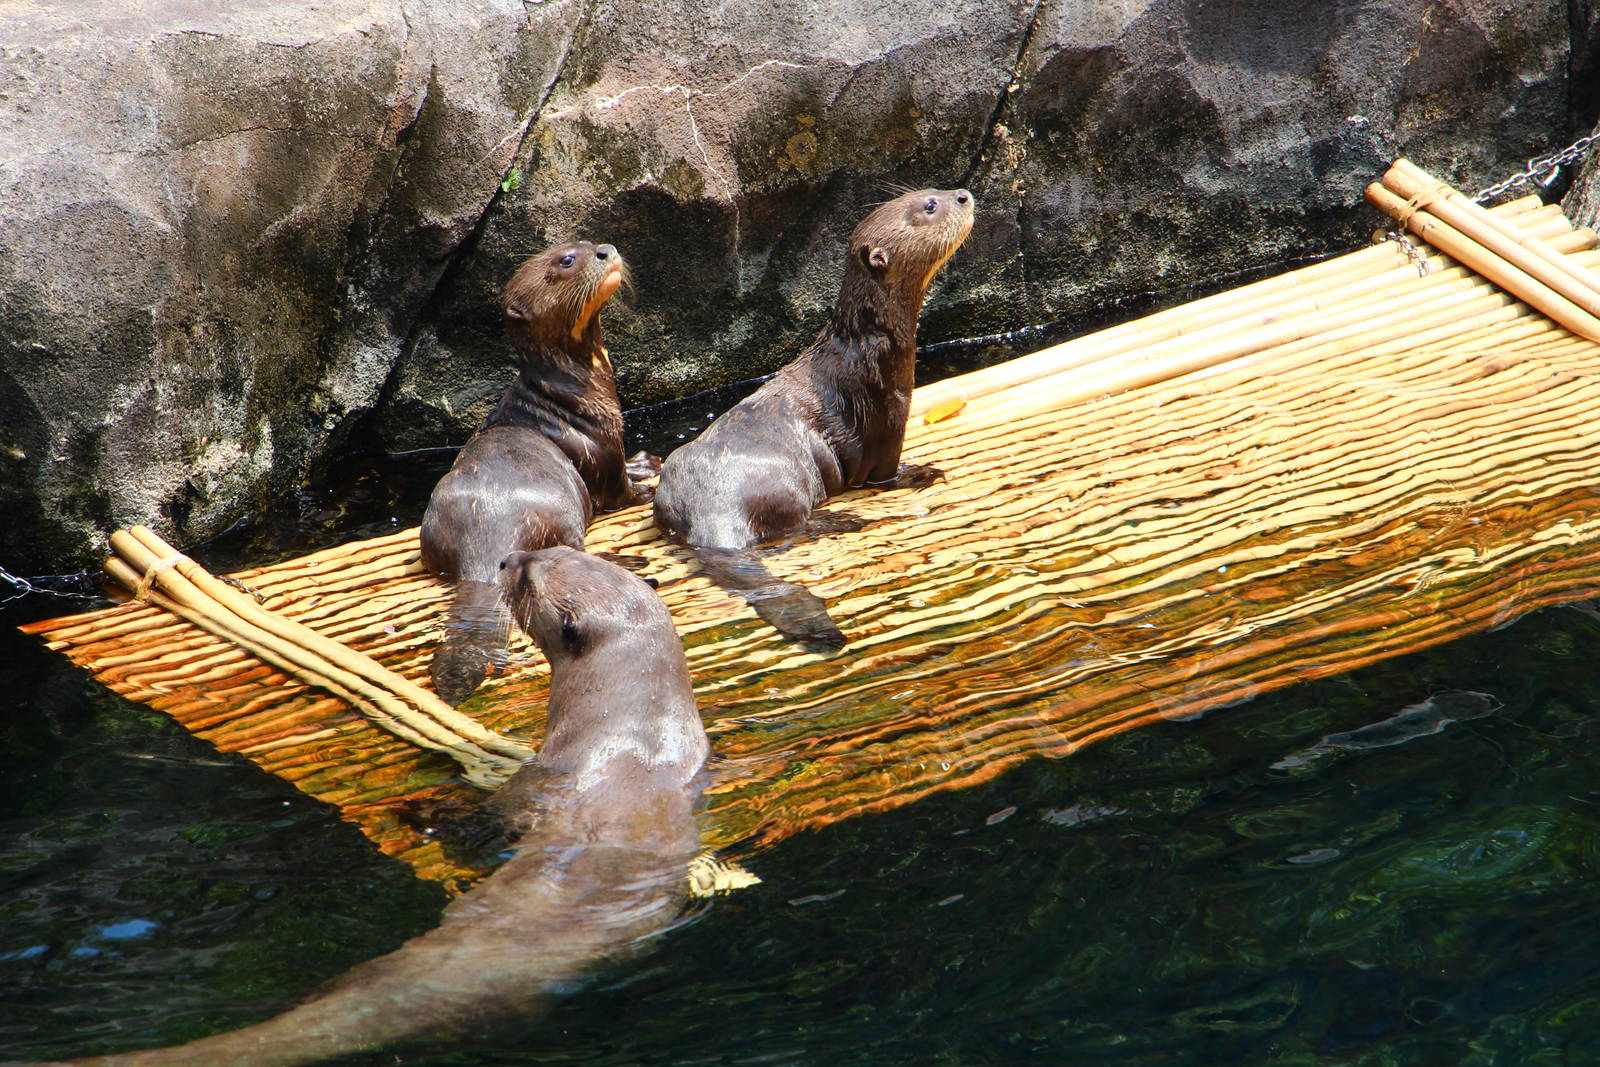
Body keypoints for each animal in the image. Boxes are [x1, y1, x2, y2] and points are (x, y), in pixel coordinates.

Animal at [52, 547, 708, 1067]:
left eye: (528, 580)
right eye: (558, 549)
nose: (506, 560)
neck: (635, 724)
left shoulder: (546, 778)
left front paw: (428, 818)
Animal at [421, 240, 637, 705]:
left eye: (586, 242)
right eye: (567, 260)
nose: (606, 250)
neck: (581, 387)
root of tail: (488, 529)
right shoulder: (607, 448)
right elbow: (621, 489)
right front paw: (648, 470)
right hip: (565, 515)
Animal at [653, 187, 975, 647]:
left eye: (930, 192)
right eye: (930, 206)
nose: (963, 194)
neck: (870, 345)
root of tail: (711, 514)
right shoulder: (887, 418)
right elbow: (886, 475)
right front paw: (923, 473)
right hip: (786, 488)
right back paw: (843, 520)